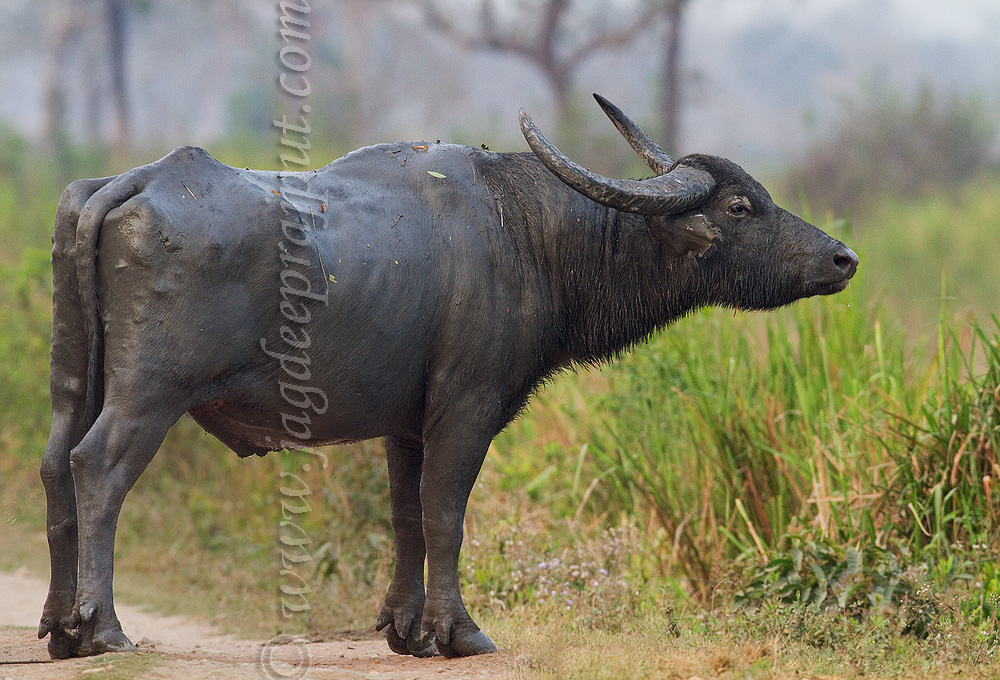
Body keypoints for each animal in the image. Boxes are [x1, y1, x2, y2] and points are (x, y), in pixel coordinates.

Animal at [38, 95, 857, 659]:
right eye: (742, 206)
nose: (842, 258)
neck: (529, 232)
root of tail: (132, 183)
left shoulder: (405, 424)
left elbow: (406, 518)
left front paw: (404, 628)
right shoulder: (467, 408)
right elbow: (446, 516)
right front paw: (457, 631)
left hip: (73, 386)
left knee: (54, 468)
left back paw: (58, 625)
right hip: (149, 395)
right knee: (97, 469)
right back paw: (102, 630)